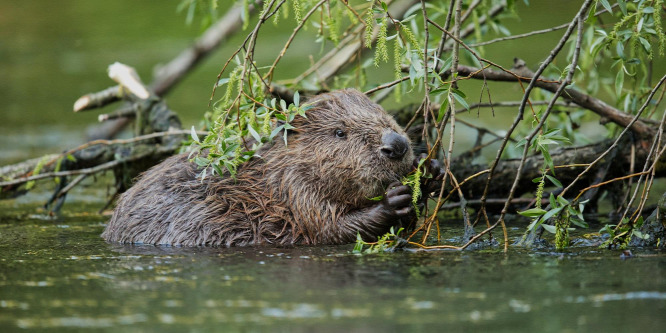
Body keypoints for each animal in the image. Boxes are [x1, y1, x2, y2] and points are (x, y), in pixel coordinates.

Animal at [101, 89, 436, 246]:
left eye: (386, 115)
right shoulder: (296, 191)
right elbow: (330, 228)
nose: (396, 145)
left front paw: (431, 170)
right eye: (340, 132)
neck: (271, 176)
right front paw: (394, 200)